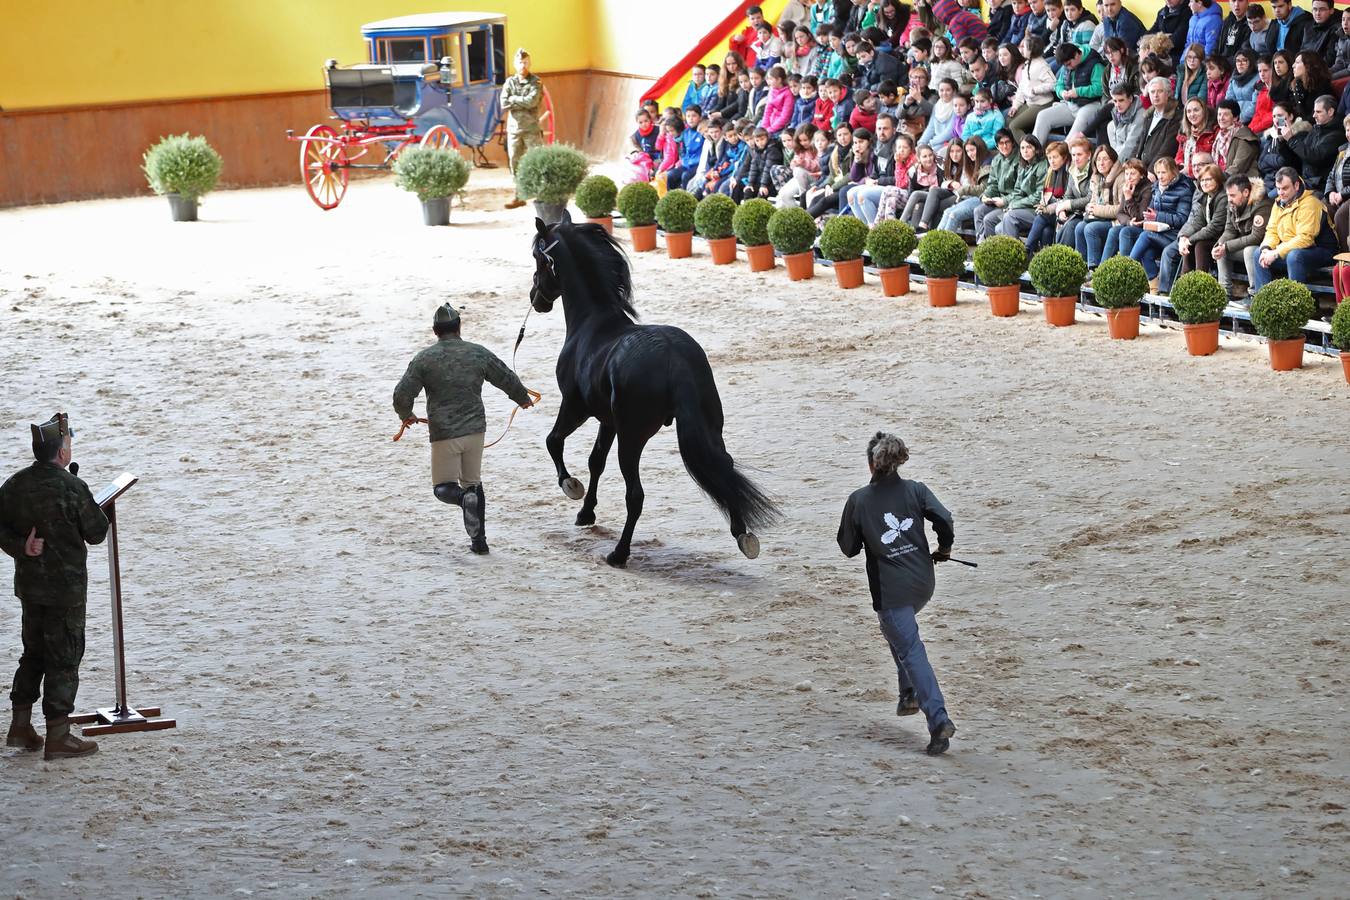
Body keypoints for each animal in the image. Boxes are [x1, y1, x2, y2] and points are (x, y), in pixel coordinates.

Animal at [526, 213, 783, 564]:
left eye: (537, 257)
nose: (535, 298)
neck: (594, 324)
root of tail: (675, 359)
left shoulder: (576, 407)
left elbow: (553, 441)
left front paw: (571, 487)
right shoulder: (607, 420)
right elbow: (595, 461)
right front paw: (586, 513)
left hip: (632, 438)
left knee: (635, 495)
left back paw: (619, 554)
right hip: (709, 428)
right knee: (724, 468)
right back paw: (743, 535)